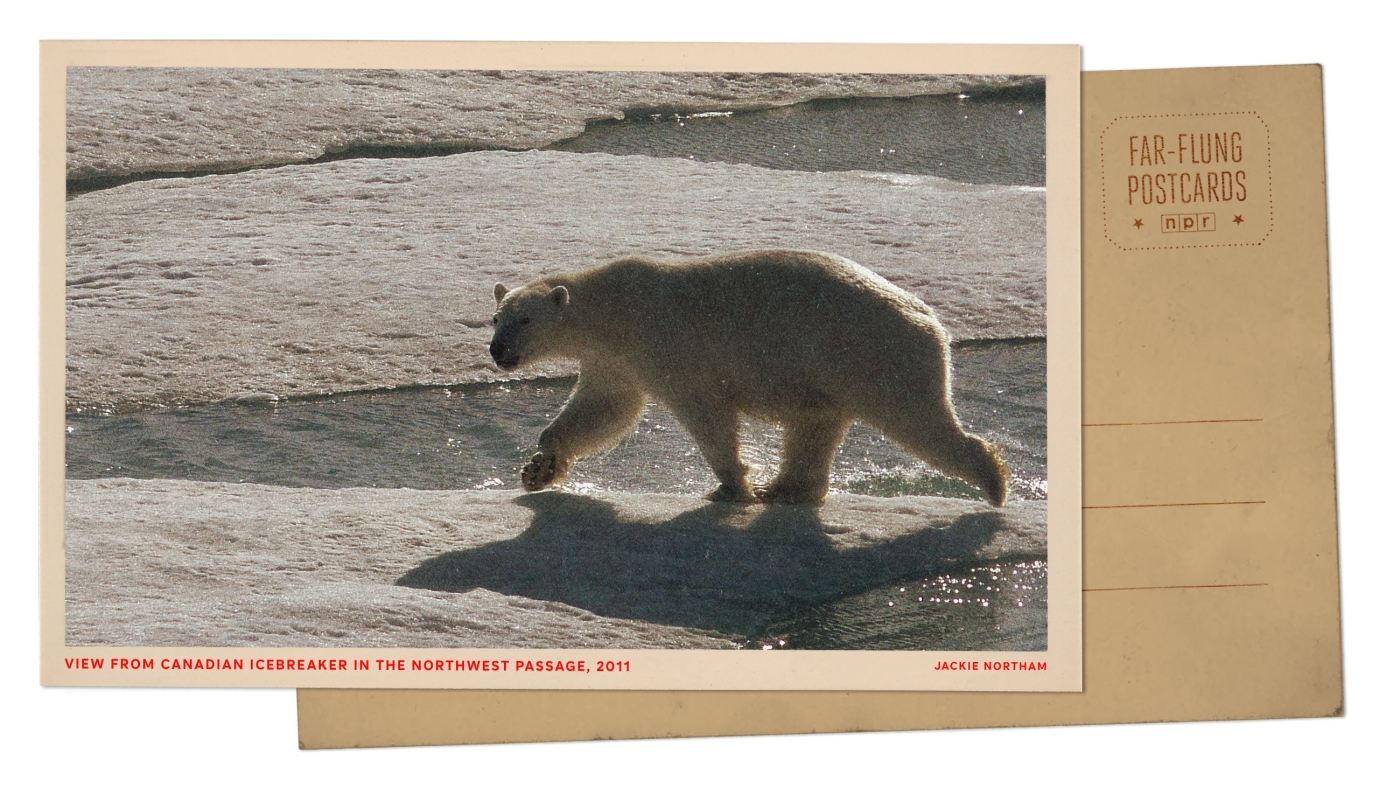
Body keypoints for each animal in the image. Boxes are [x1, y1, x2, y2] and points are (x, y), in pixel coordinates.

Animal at [488, 249, 1008, 506]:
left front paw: (732, 487)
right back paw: (788, 490)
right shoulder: (616, 360)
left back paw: (994, 481)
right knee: (815, 426)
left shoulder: (665, 345)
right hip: (830, 374)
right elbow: (603, 409)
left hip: (873, 356)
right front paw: (540, 466)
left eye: (525, 320)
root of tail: (933, 322)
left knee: (919, 421)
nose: (497, 351)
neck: (615, 310)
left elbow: (707, 415)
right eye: (496, 318)